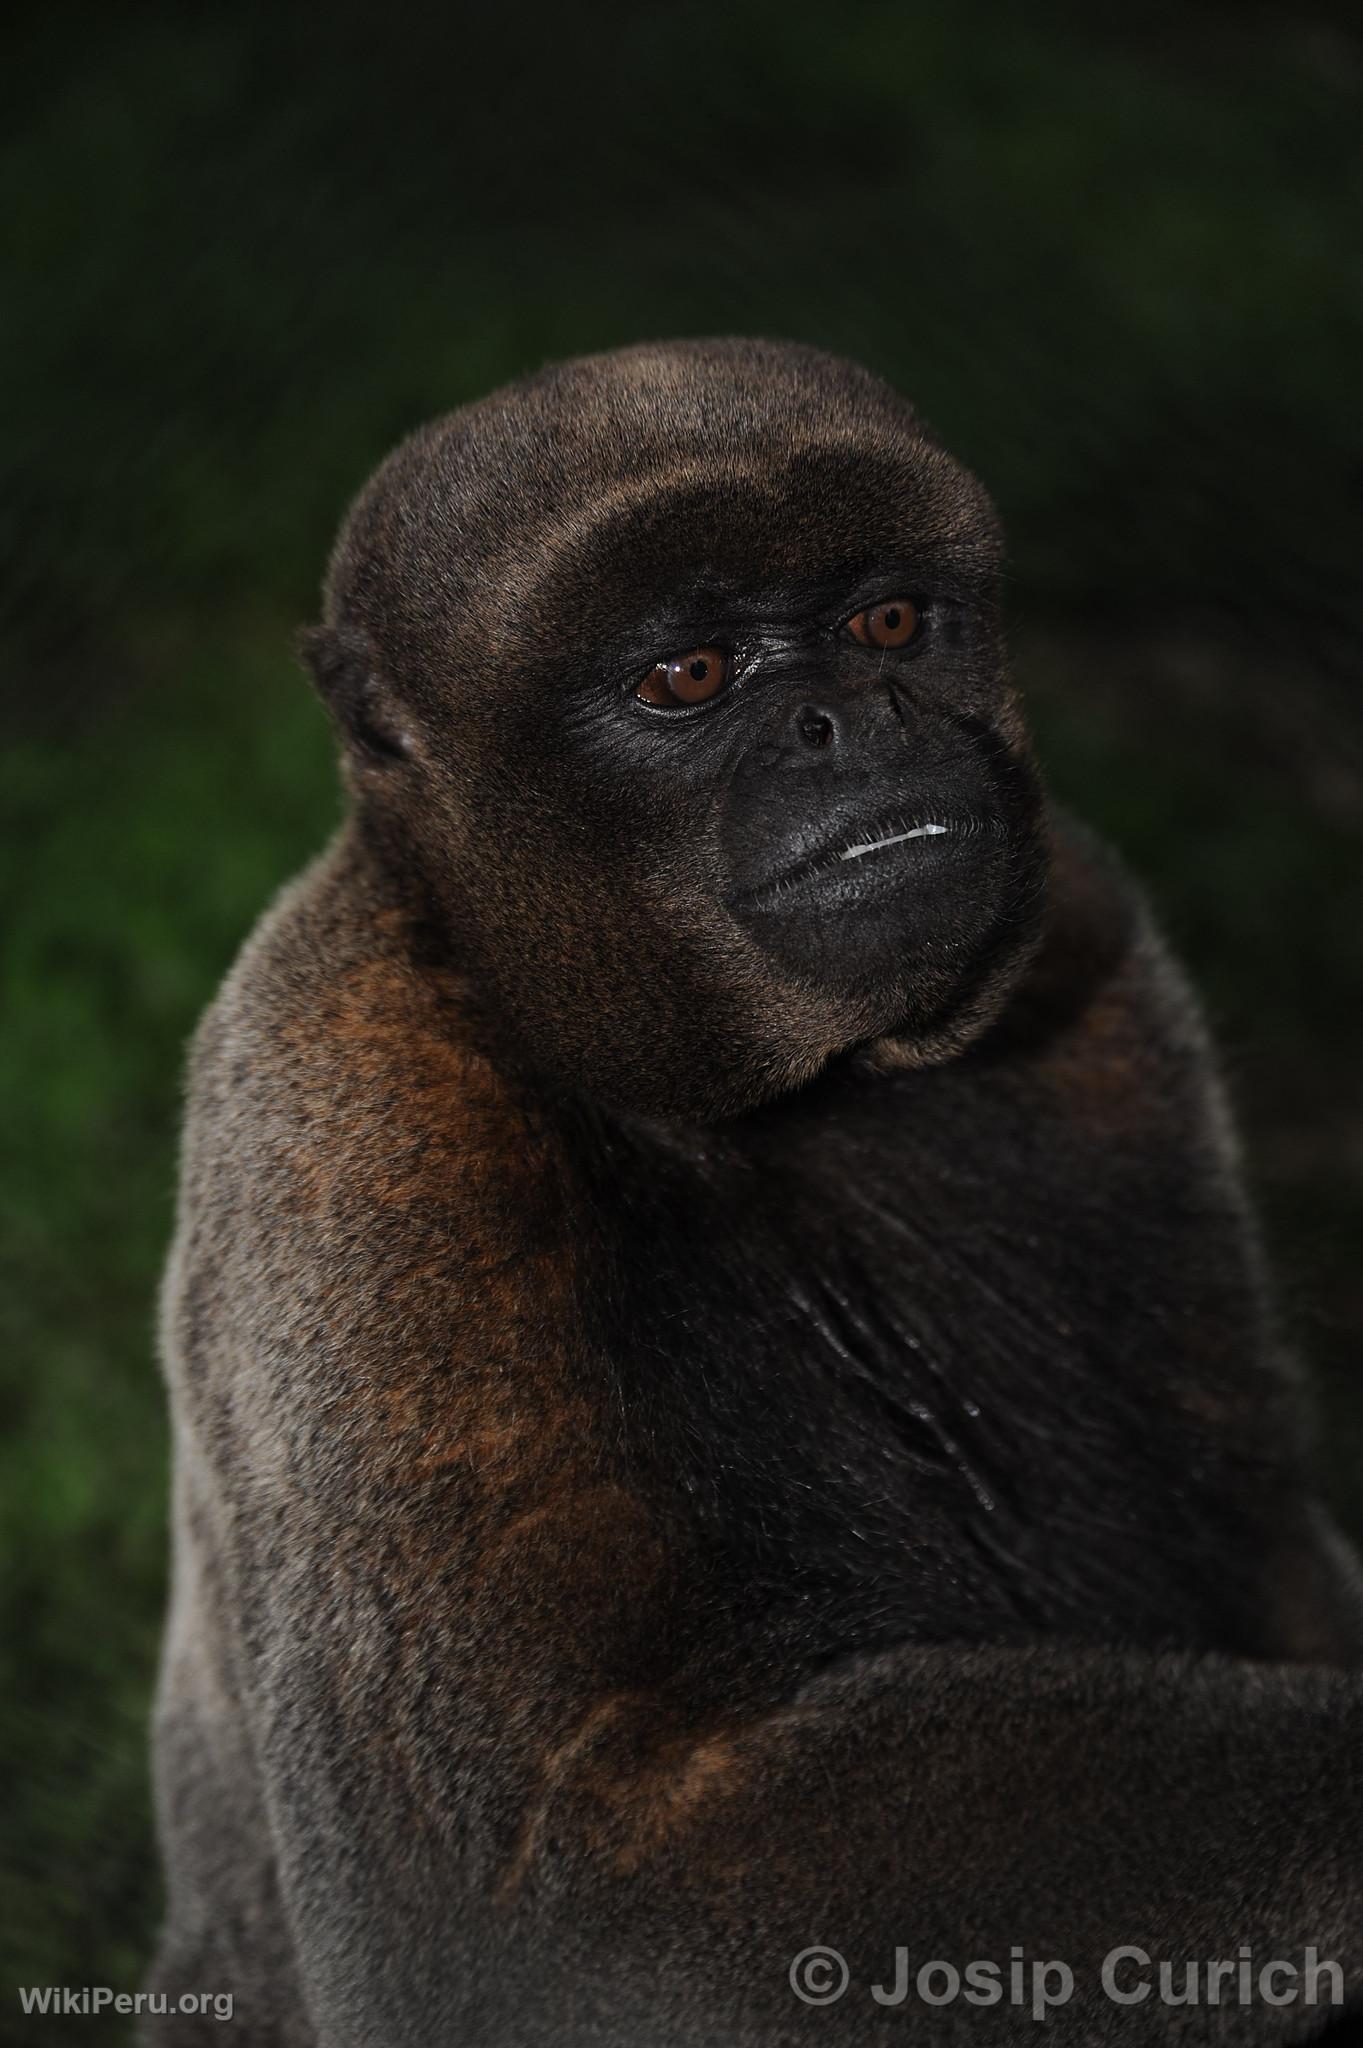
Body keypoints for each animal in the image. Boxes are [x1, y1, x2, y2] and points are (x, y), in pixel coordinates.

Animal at [146, 344, 1358, 2039]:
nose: (855, 719)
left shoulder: (1088, 951)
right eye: (689, 678)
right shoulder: (354, 1110)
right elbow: (538, 1924)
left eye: (890, 625)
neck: (754, 1113)